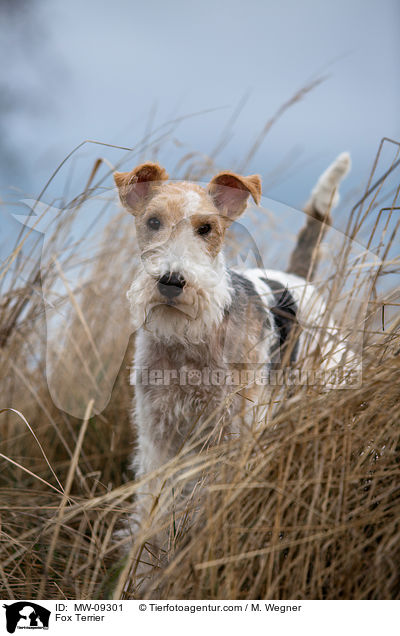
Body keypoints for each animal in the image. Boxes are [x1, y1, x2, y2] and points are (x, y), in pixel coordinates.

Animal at [114, 150, 352, 576]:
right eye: (153, 222)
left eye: (206, 228)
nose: (172, 281)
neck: (189, 342)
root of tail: (296, 277)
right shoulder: (158, 435)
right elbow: (151, 514)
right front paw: (143, 573)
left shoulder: (235, 432)